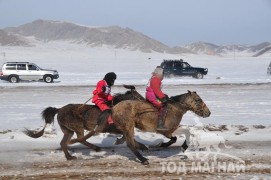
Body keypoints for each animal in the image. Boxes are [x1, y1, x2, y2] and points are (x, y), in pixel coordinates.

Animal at [75, 90, 212, 165]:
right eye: (198, 100)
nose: (208, 113)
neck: (175, 108)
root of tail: (113, 108)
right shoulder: (167, 130)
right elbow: (177, 136)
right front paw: (168, 145)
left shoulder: (171, 129)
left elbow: (184, 134)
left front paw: (182, 146)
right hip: (129, 126)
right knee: (130, 143)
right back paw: (143, 159)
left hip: (127, 127)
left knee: (128, 139)